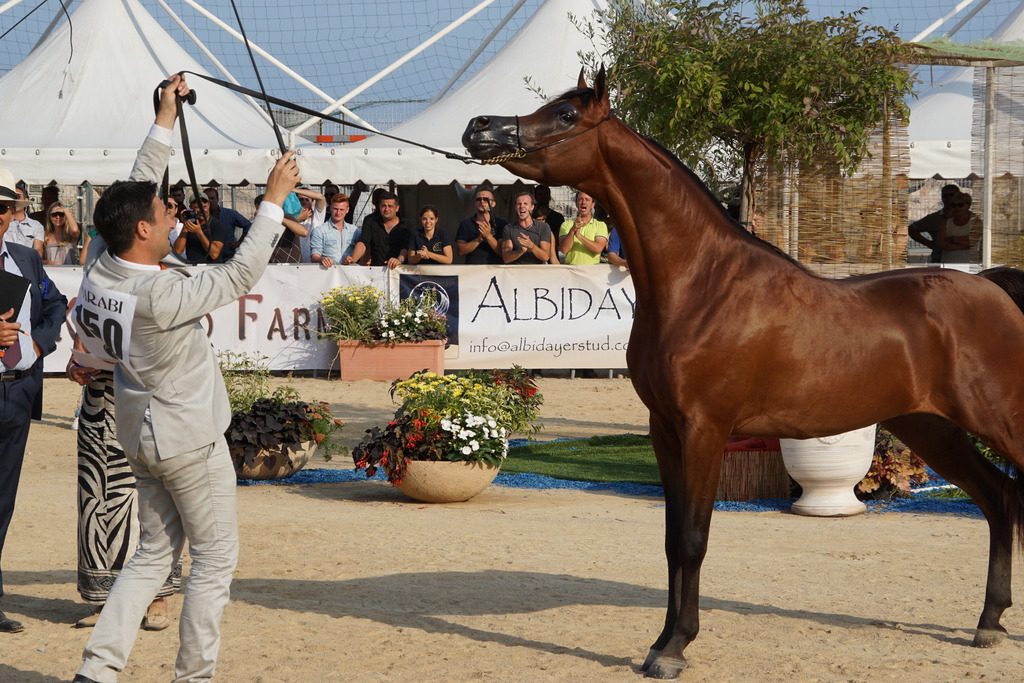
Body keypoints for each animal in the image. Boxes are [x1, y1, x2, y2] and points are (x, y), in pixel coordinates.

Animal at [462, 67, 1024, 680]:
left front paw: (676, 648)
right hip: (930, 427)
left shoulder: (705, 429)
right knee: (998, 498)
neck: (702, 282)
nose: (479, 126)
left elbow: (693, 539)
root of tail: (994, 288)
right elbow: (671, 541)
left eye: (566, 115)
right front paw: (662, 641)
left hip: (997, 423)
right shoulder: (665, 431)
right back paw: (989, 623)